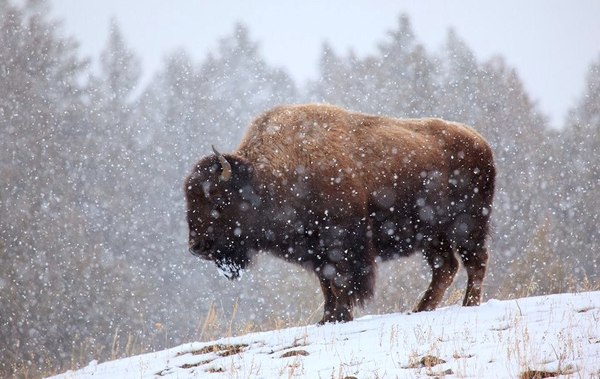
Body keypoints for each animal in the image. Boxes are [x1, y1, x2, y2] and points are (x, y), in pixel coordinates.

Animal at [185, 104, 494, 324]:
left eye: (219, 201)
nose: (197, 247)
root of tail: (480, 141)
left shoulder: (342, 243)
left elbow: (341, 282)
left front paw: (340, 316)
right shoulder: (317, 251)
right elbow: (327, 284)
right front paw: (328, 319)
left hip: (468, 226)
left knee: (475, 262)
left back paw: (468, 305)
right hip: (432, 237)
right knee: (445, 268)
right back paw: (418, 310)